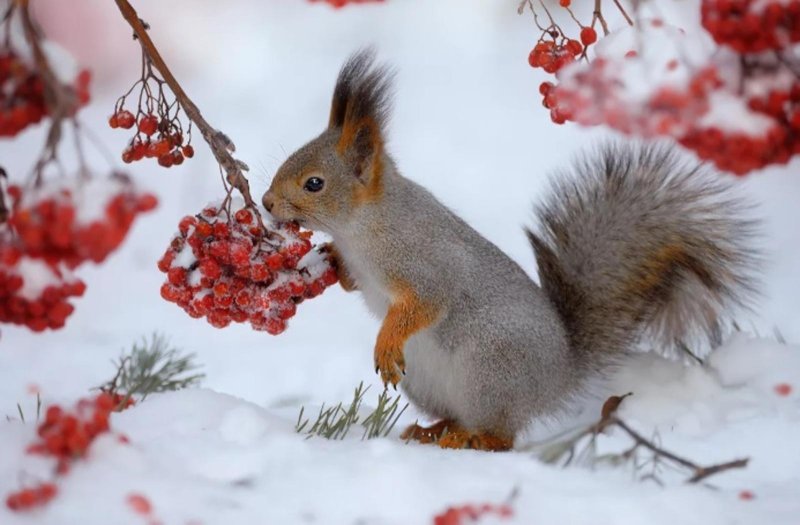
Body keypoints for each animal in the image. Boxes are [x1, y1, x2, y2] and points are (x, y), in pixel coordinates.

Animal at [260, 50, 756, 450]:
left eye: (314, 183)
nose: (266, 204)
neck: (362, 227)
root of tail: (558, 377)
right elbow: (351, 280)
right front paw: (326, 258)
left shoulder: (425, 262)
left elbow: (425, 304)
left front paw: (387, 339)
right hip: (430, 382)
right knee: (462, 417)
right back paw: (433, 430)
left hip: (490, 367)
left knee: (503, 436)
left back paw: (469, 439)